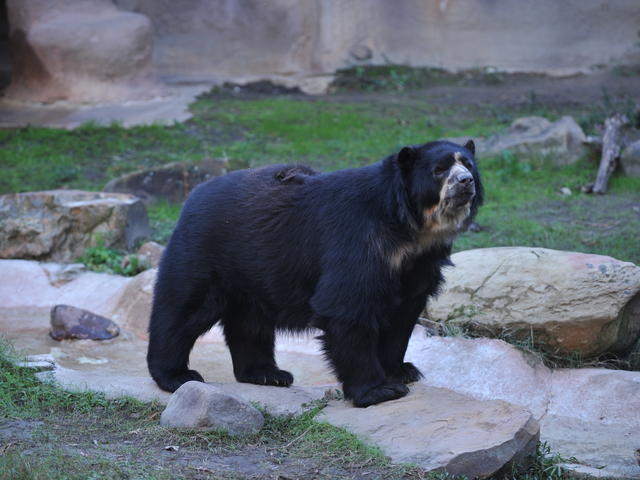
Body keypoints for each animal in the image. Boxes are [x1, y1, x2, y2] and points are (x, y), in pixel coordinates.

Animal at [148, 141, 482, 406]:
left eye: (468, 165)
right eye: (439, 170)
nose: (466, 182)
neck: (410, 228)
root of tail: (193, 195)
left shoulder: (419, 263)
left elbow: (403, 315)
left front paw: (402, 371)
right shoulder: (358, 240)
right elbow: (347, 307)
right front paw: (378, 391)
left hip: (253, 267)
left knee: (249, 321)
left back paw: (268, 374)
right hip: (204, 251)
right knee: (184, 309)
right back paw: (176, 375)